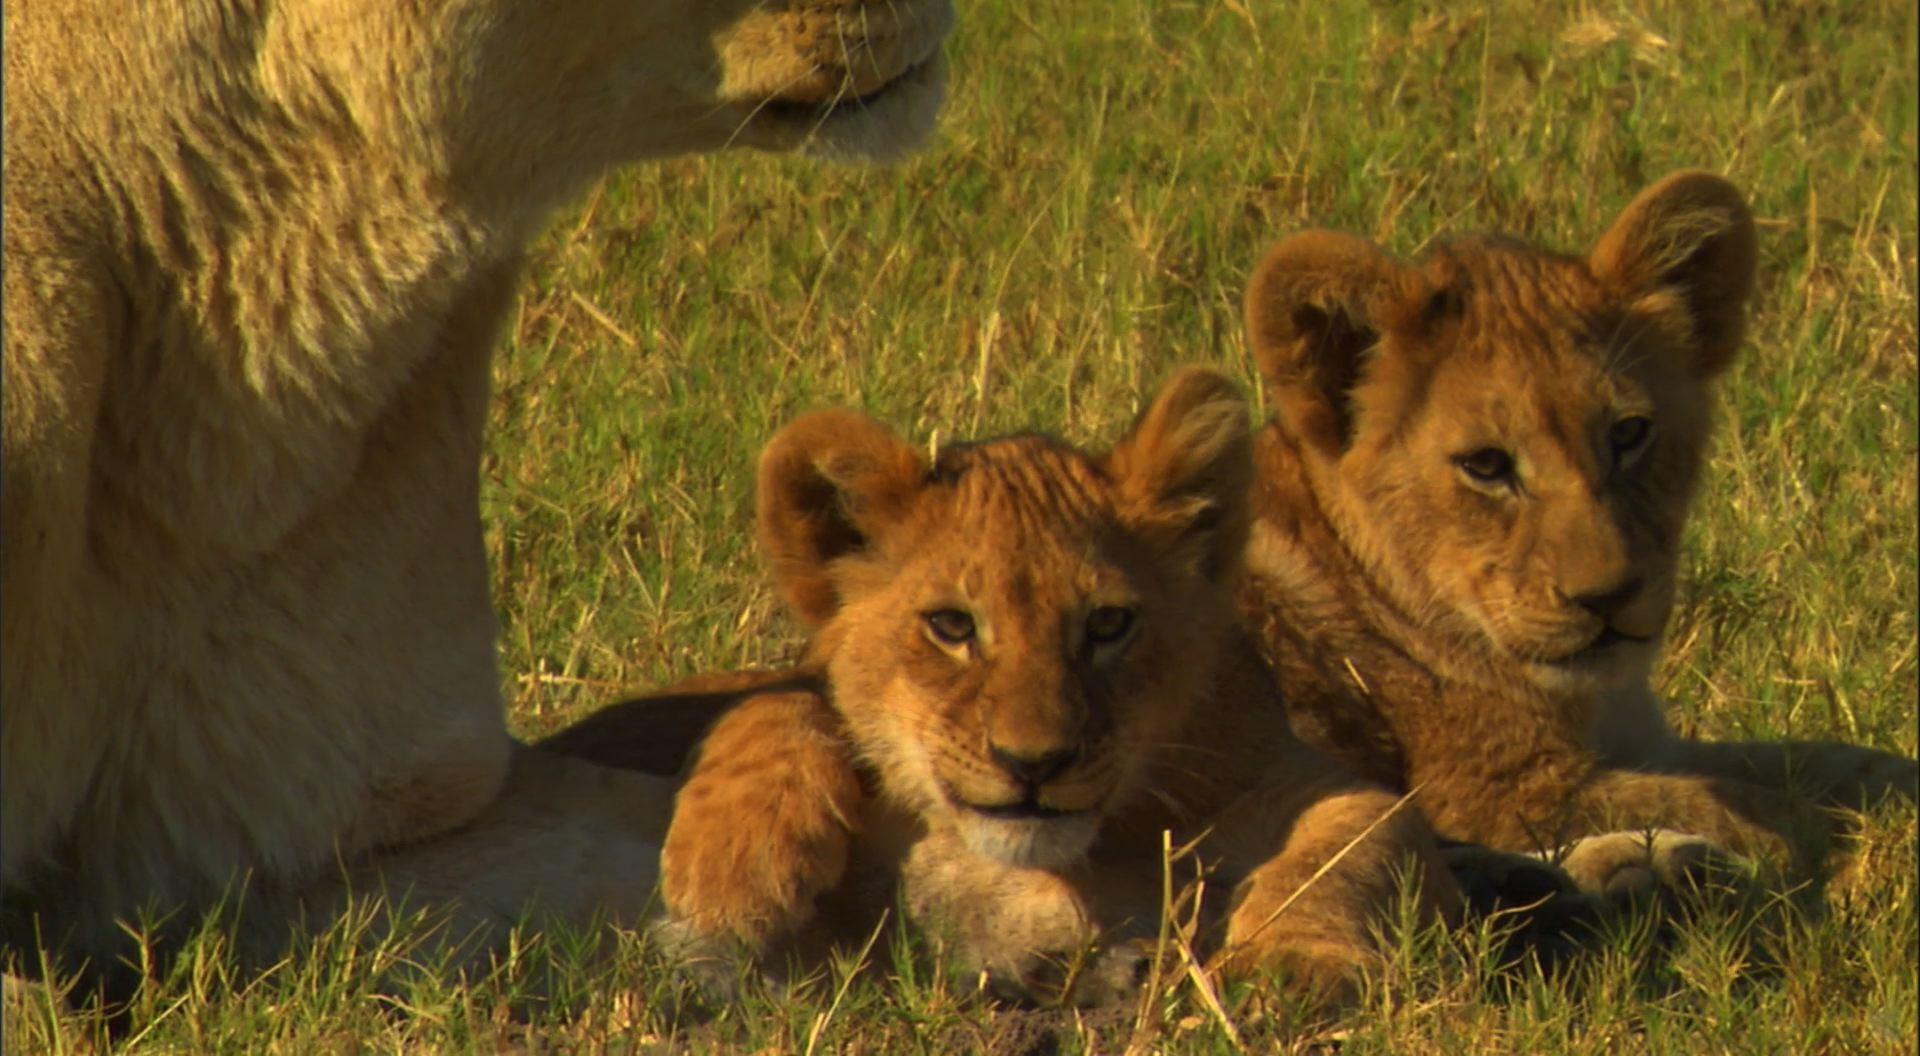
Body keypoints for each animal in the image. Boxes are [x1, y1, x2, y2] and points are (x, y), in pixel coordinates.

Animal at [613, 367, 1464, 1009]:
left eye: (1109, 624)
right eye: (952, 626)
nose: (1035, 764)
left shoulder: (1294, 775)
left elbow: (1350, 848)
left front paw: (1297, 966)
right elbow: (774, 698)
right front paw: (730, 873)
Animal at [1237, 170, 1918, 884]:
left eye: (1629, 434)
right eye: (1487, 465)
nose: (1608, 598)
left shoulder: (1651, 743)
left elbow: (1821, 758)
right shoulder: (1495, 792)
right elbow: (1740, 803)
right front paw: (1837, 842)